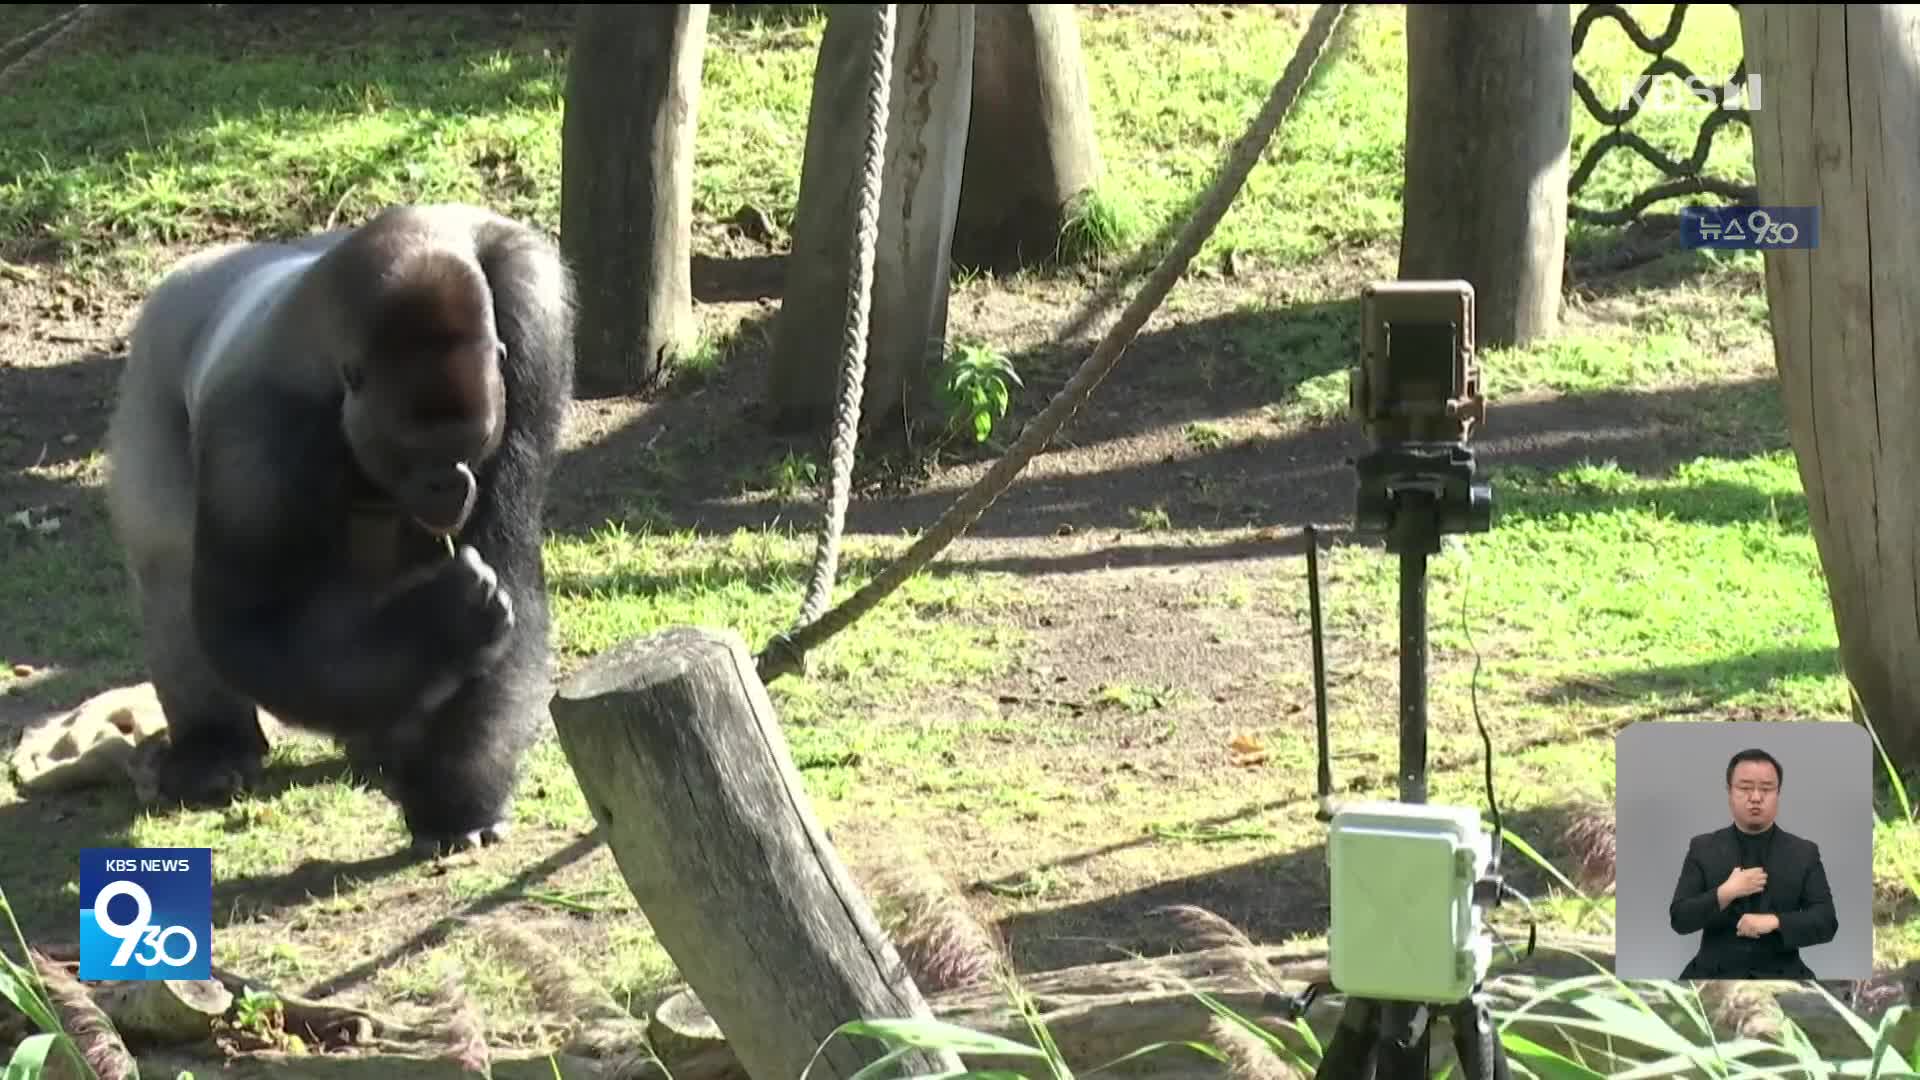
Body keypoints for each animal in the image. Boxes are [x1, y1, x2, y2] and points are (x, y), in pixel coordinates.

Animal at [104, 201, 572, 853]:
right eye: (412, 449)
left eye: (467, 442)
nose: (448, 487)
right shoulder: (255, 435)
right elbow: (250, 626)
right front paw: (447, 622)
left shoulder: (533, 314)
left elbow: (505, 560)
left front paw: (458, 794)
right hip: (152, 365)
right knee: (167, 562)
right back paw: (211, 748)